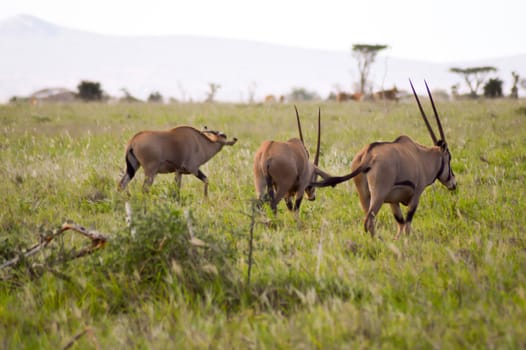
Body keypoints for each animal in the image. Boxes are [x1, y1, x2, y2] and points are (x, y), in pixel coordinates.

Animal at [314, 80, 458, 238]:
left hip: (364, 196)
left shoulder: (393, 201)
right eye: (449, 158)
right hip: (378, 195)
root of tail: (367, 156)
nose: (454, 183)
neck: (422, 157)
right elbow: (407, 224)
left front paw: (397, 240)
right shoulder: (416, 195)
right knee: (369, 221)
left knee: (369, 220)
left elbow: (400, 223)